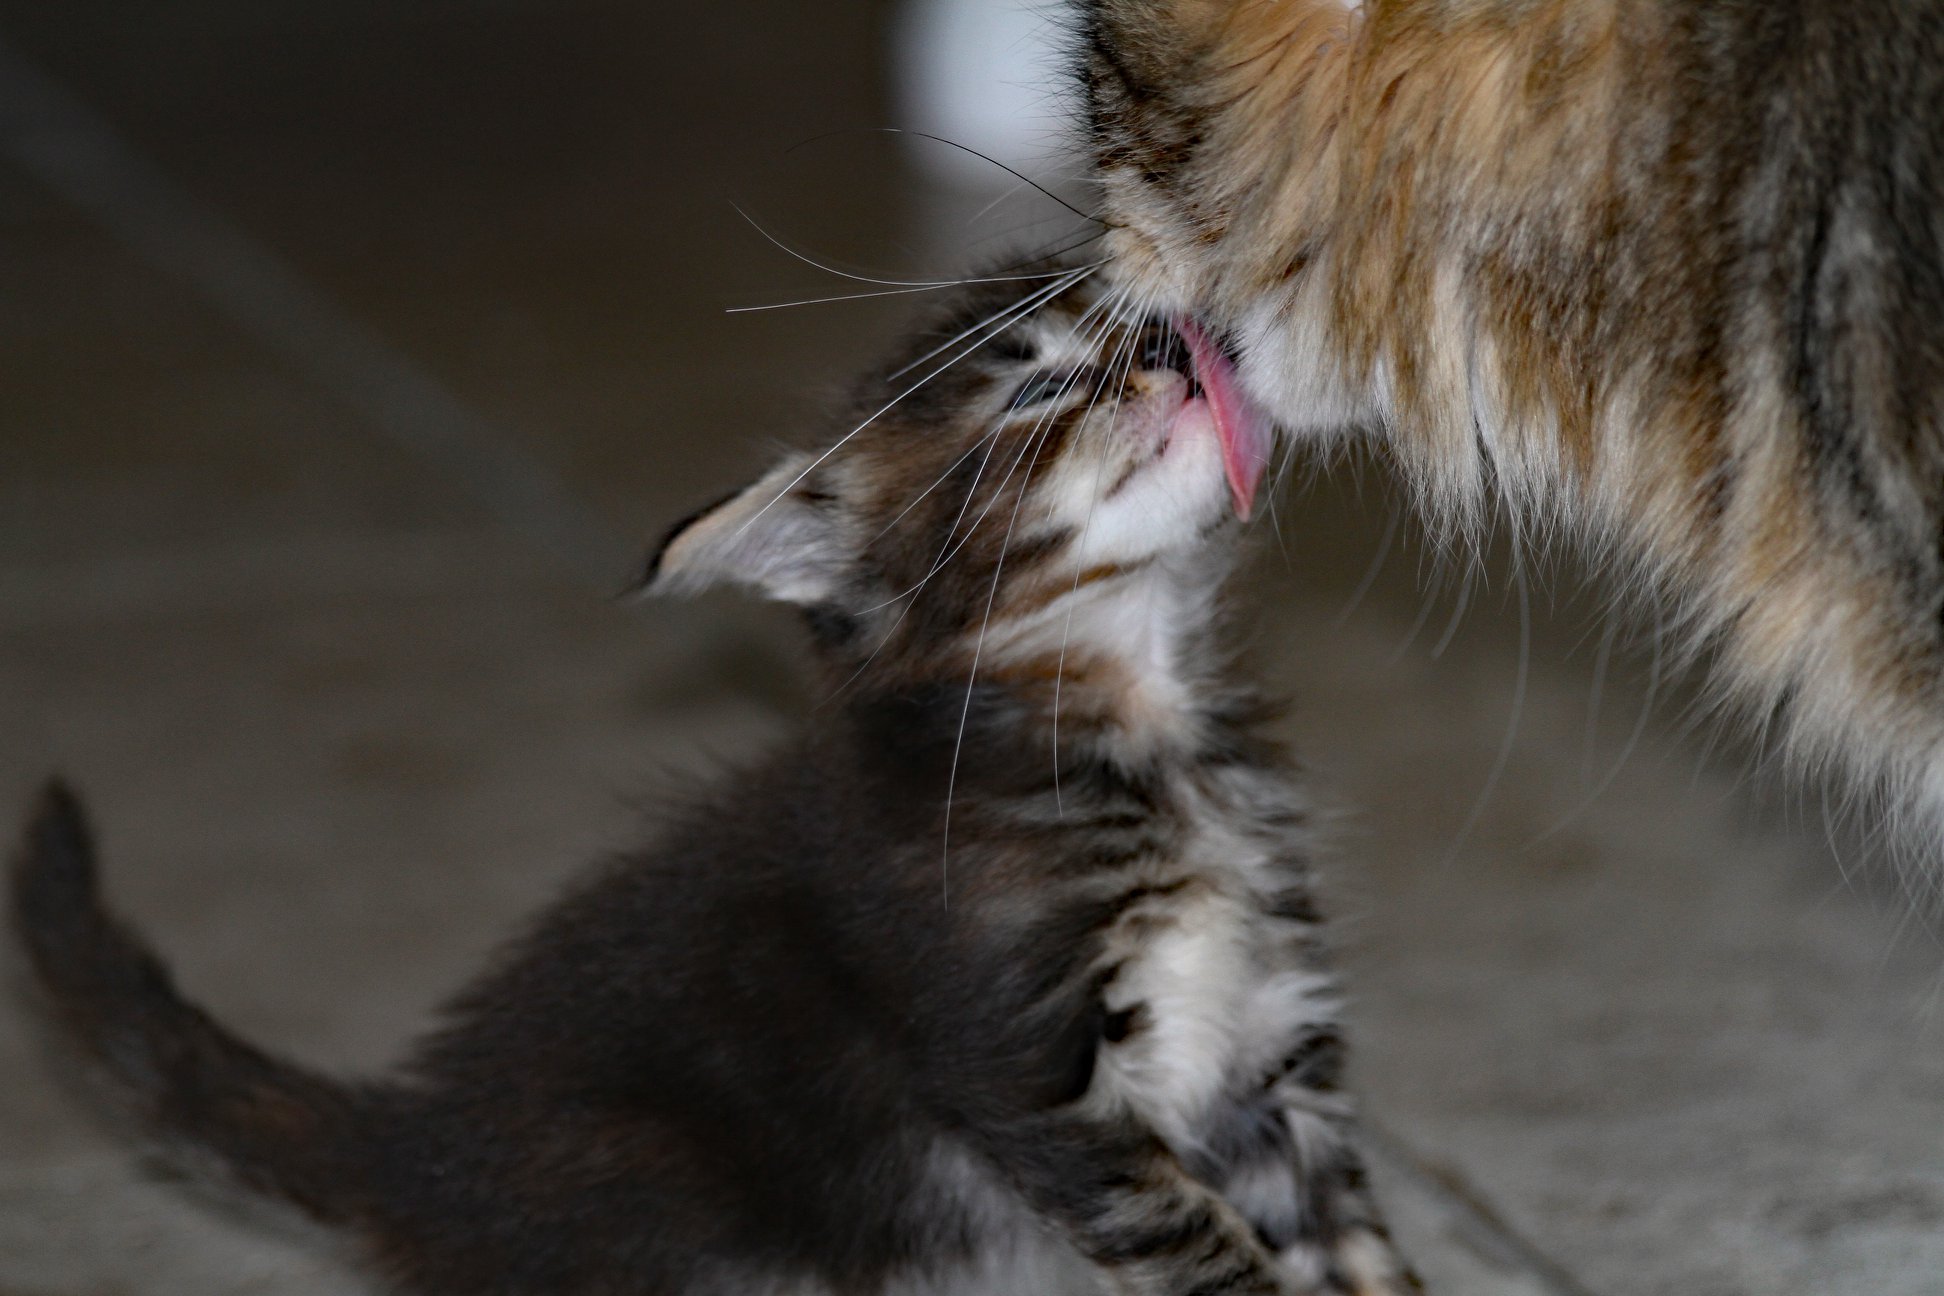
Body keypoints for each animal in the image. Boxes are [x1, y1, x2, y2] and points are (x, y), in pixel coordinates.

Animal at [11, 266, 1415, 1296]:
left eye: (1159, 330)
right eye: (1037, 384)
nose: (1180, 352)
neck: (1147, 733)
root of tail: (424, 1153)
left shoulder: (1266, 1043)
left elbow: (1351, 1244)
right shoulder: (1033, 1078)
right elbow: (1212, 1256)